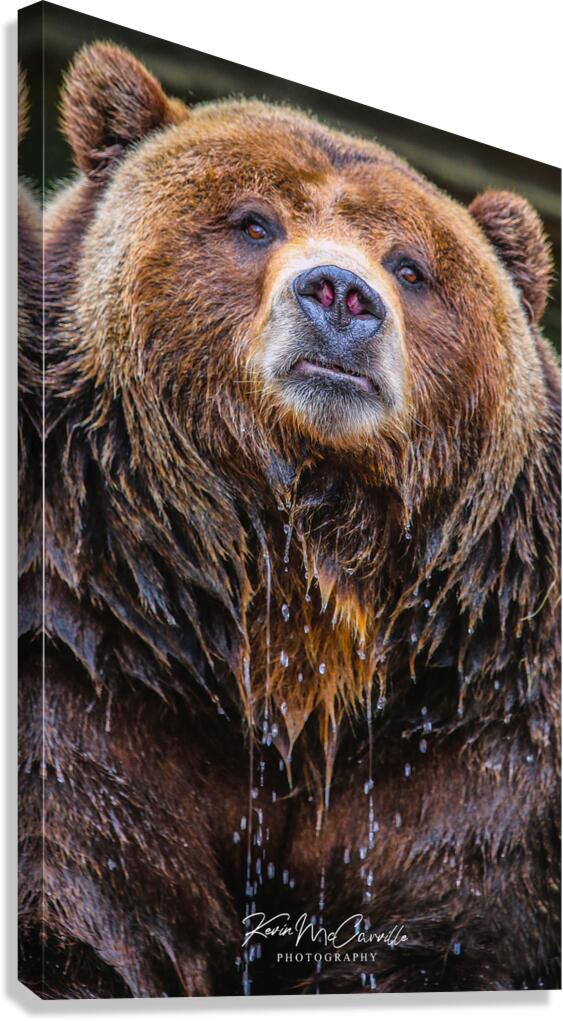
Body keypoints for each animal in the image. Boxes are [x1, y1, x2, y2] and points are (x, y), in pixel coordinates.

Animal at [18, 42, 560, 997]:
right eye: (253, 222)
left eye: (410, 266)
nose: (341, 294)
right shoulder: (83, 640)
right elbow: (88, 881)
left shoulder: (483, 713)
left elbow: (457, 917)